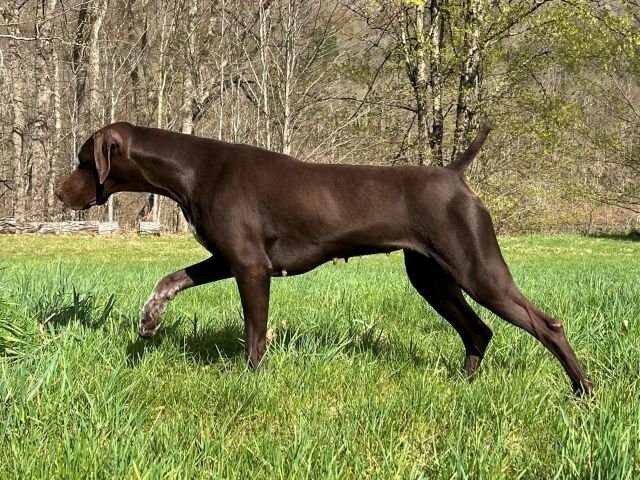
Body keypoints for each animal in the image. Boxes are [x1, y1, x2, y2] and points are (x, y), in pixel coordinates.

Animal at [57, 121, 592, 395]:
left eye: (83, 160)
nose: (59, 193)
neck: (193, 168)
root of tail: (453, 174)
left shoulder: (250, 268)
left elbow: (255, 339)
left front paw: (253, 384)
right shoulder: (229, 259)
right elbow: (170, 279)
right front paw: (149, 319)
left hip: (478, 271)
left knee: (547, 326)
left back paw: (583, 391)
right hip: (432, 279)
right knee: (479, 331)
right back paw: (462, 389)